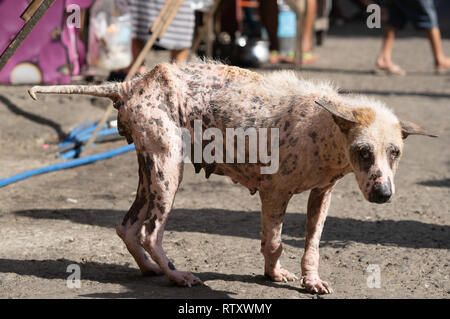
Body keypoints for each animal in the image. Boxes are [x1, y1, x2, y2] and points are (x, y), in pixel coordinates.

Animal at [29, 62, 436, 296]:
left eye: (395, 153)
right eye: (364, 152)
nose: (383, 194)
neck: (323, 126)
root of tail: (132, 83)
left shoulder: (322, 194)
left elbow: (312, 245)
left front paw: (309, 280)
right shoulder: (275, 195)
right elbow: (274, 243)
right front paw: (273, 274)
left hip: (151, 169)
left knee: (126, 226)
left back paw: (148, 268)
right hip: (169, 170)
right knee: (149, 232)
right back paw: (176, 276)